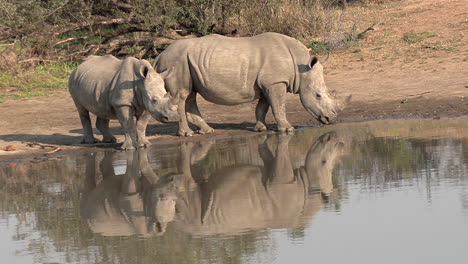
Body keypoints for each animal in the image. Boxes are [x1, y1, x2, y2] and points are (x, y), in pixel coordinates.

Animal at [154, 31, 348, 136]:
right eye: (318, 95)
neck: (300, 66)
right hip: (176, 61)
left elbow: (263, 107)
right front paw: (288, 130)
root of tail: (160, 55)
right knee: (181, 95)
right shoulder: (275, 82)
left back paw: (208, 131)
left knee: (189, 95)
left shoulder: (267, 84)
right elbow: (279, 106)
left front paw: (260, 129)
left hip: (186, 63)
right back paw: (188, 134)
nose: (331, 119)